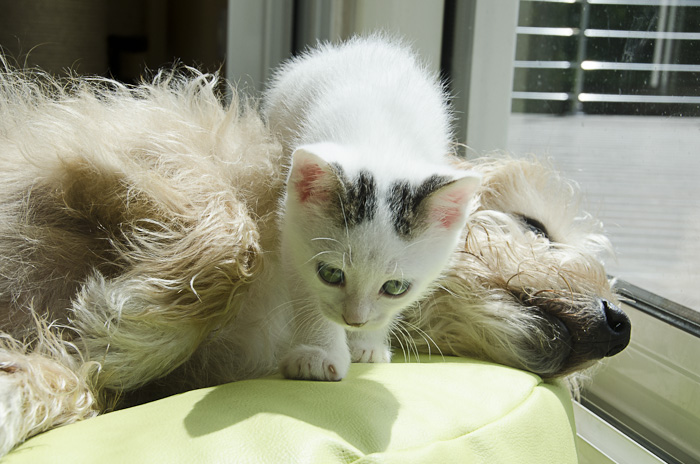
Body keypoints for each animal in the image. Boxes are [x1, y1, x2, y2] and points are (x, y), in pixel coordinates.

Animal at [256, 38, 482, 382]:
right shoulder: (291, 231)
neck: (380, 141)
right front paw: (317, 355)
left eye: (395, 287)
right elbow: (307, 292)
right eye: (331, 274)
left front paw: (367, 344)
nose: (355, 320)